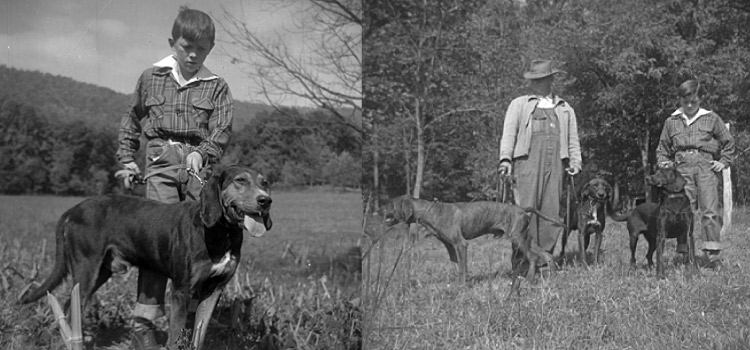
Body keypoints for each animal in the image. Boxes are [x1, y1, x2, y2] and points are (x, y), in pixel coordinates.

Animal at [18, 165, 274, 350]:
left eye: (265, 183)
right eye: (240, 181)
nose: (266, 200)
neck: (223, 233)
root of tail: (74, 209)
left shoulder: (214, 289)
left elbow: (199, 333)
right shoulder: (181, 290)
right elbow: (175, 334)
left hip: (101, 272)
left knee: (67, 307)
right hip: (86, 269)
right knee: (71, 308)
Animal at [382, 196, 564, 286]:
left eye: (390, 204)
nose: (378, 209)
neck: (430, 211)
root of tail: (521, 209)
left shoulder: (461, 244)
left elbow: (463, 268)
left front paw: (462, 288)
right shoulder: (451, 247)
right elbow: (459, 266)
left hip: (517, 239)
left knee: (532, 258)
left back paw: (530, 280)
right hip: (526, 239)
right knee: (547, 255)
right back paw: (554, 276)